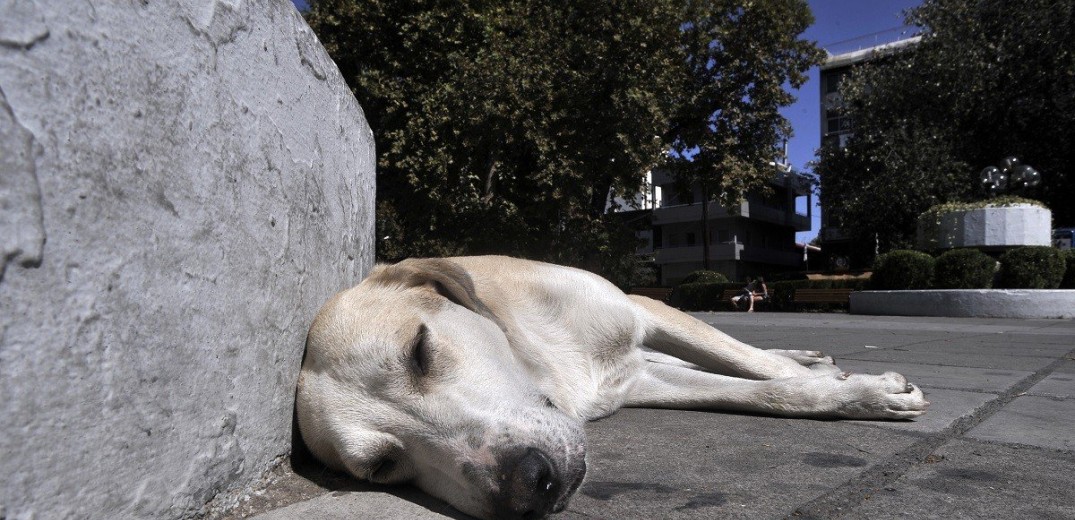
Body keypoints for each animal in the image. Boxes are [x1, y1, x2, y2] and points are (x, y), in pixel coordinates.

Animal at [294, 256, 924, 520]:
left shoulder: (643, 309)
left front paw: (866, 389)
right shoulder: (639, 380)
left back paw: (811, 357)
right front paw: (844, 391)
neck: (547, 364)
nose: (531, 486)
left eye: (419, 351)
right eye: (381, 467)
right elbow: (760, 389)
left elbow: (759, 370)